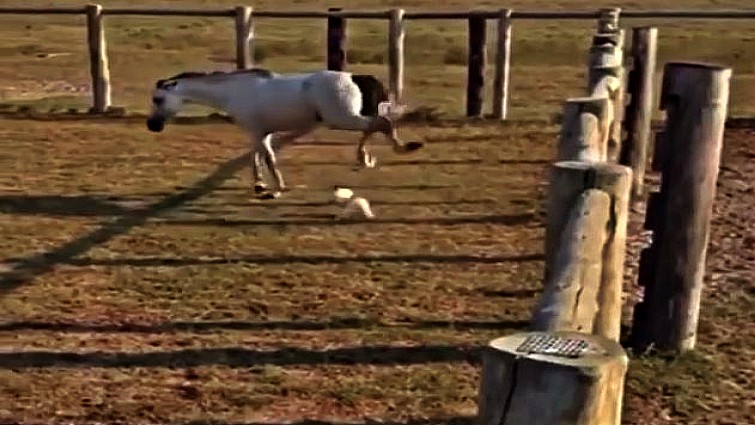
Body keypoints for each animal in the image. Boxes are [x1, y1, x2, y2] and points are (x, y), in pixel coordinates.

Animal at [145, 68, 424, 198]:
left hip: (342, 118)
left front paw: (276, 187)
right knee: (376, 125)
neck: (234, 91)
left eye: (158, 99)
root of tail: (357, 77)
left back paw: (383, 153)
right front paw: (259, 185)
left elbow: (266, 157)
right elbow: (256, 156)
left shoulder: (256, 131)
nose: (152, 125)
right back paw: (365, 158)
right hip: (345, 118)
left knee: (381, 123)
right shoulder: (260, 132)